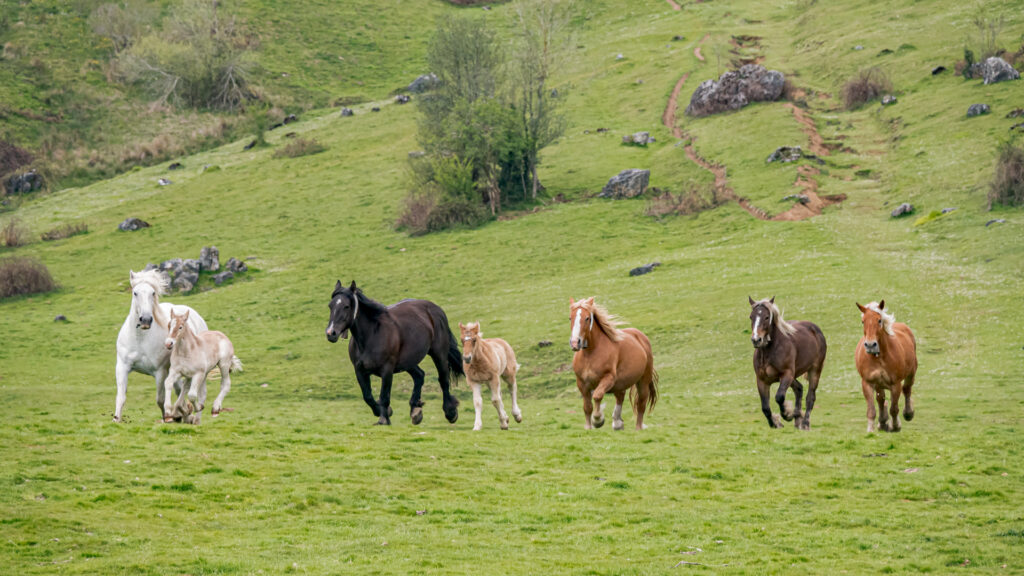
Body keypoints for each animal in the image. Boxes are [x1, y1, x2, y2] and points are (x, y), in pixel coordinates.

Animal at [114, 270, 209, 422]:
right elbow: (121, 397)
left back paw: (192, 418)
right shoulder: (122, 367)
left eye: (153, 293)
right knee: (180, 389)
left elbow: (160, 399)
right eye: (135, 293)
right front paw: (116, 419)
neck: (141, 339)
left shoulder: (160, 372)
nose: (146, 319)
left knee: (198, 394)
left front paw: (168, 418)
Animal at [325, 281, 463, 426]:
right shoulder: (359, 371)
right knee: (419, 375)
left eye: (346, 306)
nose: (331, 333)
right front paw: (382, 411)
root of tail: (436, 309)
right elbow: (368, 396)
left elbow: (384, 396)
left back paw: (450, 412)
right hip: (408, 361)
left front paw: (384, 419)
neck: (372, 335)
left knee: (443, 379)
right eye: (330, 305)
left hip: (438, 353)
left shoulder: (387, 370)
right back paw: (415, 411)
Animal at [569, 297, 658, 430]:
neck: (590, 354)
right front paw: (588, 427)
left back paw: (637, 428)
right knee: (620, 396)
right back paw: (617, 423)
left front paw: (598, 420)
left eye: (587, 318)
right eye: (570, 318)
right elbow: (587, 407)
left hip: (643, 381)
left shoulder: (609, 378)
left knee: (641, 404)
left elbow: (597, 396)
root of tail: (641, 337)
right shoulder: (582, 383)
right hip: (620, 383)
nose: (575, 343)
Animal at [748, 296, 827, 430]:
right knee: (799, 389)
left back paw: (804, 423)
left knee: (810, 398)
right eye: (751, 317)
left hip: (814, 370)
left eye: (766, 317)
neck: (769, 352)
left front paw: (788, 414)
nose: (756, 340)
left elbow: (779, 397)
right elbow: (765, 408)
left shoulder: (786, 374)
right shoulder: (762, 380)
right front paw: (776, 423)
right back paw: (798, 420)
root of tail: (815, 329)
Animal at [855, 301, 918, 433]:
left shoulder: (895, 384)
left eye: (879, 320)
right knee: (881, 399)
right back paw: (883, 422)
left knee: (907, 389)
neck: (879, 357)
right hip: (879, 384)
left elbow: (894, 408)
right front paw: (871, 429)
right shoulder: (867, 383)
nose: (870, 345)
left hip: (911, 372)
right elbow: (871, 409)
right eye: (863, 321)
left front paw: (895, 425)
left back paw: (908, 413)